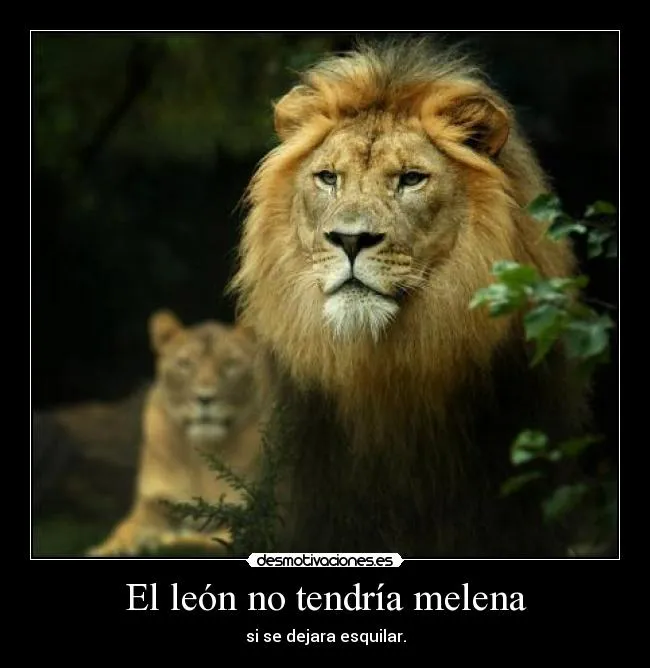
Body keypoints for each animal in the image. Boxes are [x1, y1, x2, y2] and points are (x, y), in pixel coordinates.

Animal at [86, 310, 267, 556]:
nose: (205, 398)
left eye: (230, 364)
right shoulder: (155, 502)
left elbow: (209, 540)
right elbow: (125, 529)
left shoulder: (249, 513)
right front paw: (110, 549)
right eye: (185, 364)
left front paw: (165, 541)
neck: (201, 461)